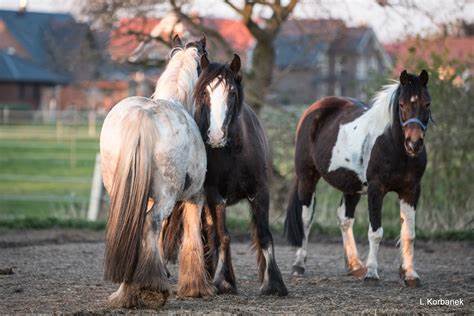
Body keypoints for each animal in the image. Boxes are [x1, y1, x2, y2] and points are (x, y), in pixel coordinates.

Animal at [100, 35, 213, 308]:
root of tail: (142, 116)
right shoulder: (195, 197)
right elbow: (192, 237)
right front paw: (196, 287)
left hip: (123, 193)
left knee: (132, 228)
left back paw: (126, 292)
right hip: (167, 197)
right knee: (150, 223)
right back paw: (153, 289)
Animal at [193, 53, 288, 296]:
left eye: (232, 93)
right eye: (204, 92)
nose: (215, 136)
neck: (234, 152)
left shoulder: (260, 192)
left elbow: (264, 234)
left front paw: (274, 283)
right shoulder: (214, 195)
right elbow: (222, 235)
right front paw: (221, 280)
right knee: (211, 233)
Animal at [284, 70, 432, 288]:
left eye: (427, 103)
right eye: (402, 104)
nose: (414, 143)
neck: (391, 144)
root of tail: (313, 109)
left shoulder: (411, 190)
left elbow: (409, 234)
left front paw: (410, 274)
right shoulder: (376, 189)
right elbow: (376, 233)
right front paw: (372, 274)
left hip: (351, 185)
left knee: (344, 219)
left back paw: (354, 265)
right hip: (307, 177)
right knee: (306, 218)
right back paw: (298, 265)